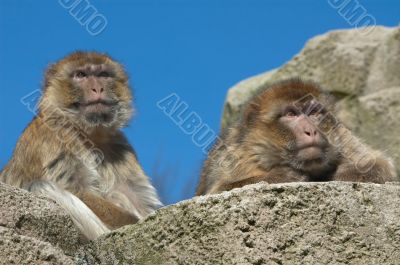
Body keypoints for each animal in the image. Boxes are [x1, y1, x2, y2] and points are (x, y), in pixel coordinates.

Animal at [0, 51, 162, 239]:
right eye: (81, 75)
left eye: (103, 75)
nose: (98, 88)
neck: (90, 135)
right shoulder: (58, 136)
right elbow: (78, 191)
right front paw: (132, 222)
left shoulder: (122, 148)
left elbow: (142, 204)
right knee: (40, 186)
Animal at [195, 78, 396, 194]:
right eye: (291, 114)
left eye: (314, 112)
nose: (311, 130)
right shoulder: (238, 158)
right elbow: (219, 188)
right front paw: (280, 176)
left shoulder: (344, 139)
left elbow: (380, 165)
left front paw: (335, 174)